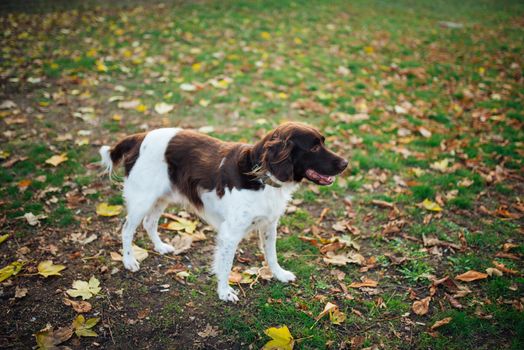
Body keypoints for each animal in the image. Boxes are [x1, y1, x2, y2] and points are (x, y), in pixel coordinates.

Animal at [101, 121, 348, 300]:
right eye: (314, 147)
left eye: (323, 142)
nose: (346, 163)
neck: (261, 175)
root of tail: (140, 137)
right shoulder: (230, 233)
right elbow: (226, 265)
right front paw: (224, 292)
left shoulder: (269, 224)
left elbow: (271, 254)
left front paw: (279, 274)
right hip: (143, 198)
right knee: (127, 229)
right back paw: (129, 261)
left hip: (162, 196)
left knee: (149, 222)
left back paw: (161, 247)